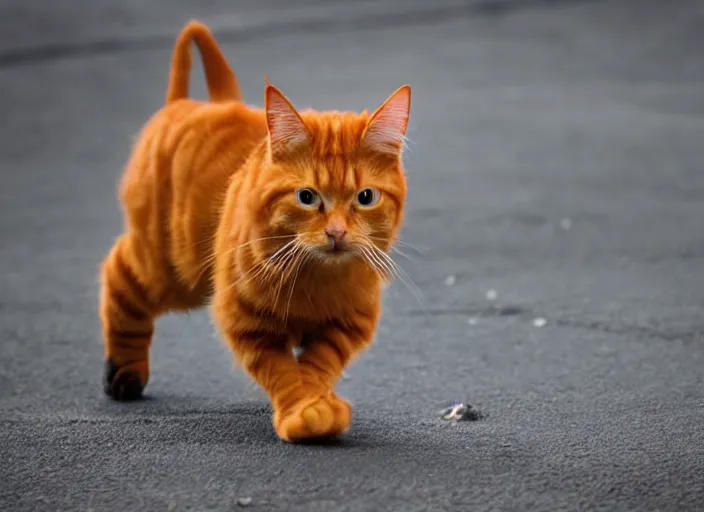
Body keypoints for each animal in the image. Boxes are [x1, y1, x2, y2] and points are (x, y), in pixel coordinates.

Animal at [102, 22, 416, 442]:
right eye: (306, 197)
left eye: (365, 197)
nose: (336, 233)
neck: (315, 280)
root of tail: (185, 103)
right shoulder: (248, 322)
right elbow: (284, 373)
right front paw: (303, 413)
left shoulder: (345, 325)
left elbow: (317, 366)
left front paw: (318, 404)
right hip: (171, 270)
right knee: (117, 274)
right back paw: (124, 372)